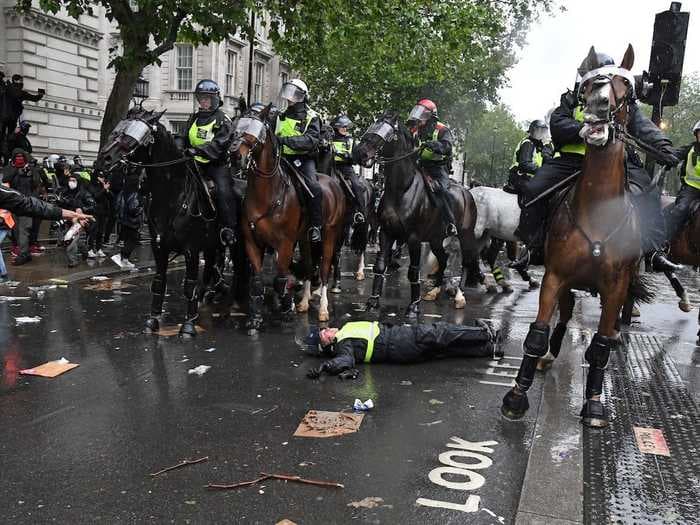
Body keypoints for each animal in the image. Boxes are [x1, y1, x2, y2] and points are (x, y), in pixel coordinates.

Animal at [232, 108, 348, 334]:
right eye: (237, 126)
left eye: (256, 131)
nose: (235, 156)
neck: (267, 194)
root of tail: (333, 182)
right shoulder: (253, 242)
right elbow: (257, 281)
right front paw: (255, 320)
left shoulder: (284, 243)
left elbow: (280, 279)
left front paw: (287, 310)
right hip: (304, 239)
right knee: (309, 265)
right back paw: (303, 303)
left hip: (329, 234)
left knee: (324, 269)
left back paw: (322, 309)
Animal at [500, 47, 648, 428]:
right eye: (589, 86)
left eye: (626, 84)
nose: (598, 108)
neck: (597, 211)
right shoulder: (555, 276)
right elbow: (536, 334)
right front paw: (516, 397)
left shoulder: (615, 289)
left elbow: (600, 347)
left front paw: (594, 404)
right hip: (567, 284)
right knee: (564, 317)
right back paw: (549, 357)